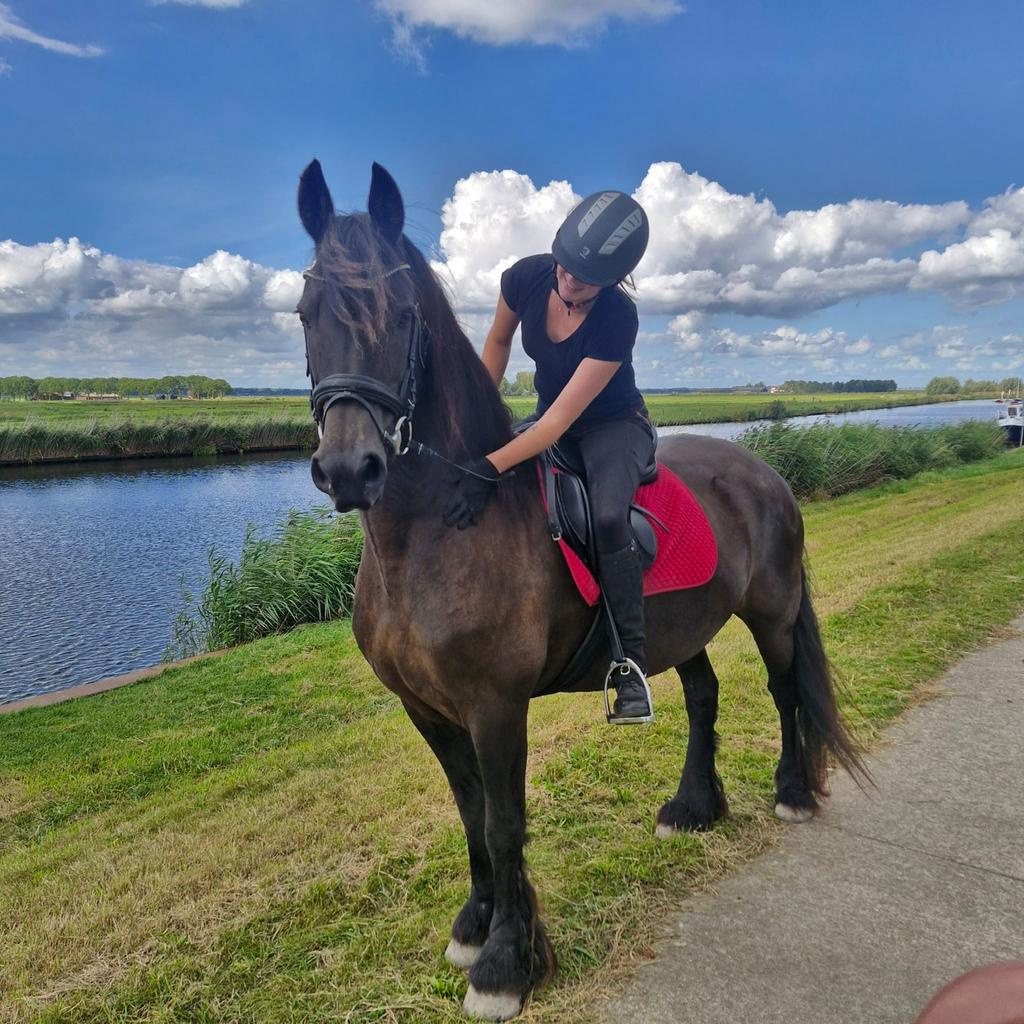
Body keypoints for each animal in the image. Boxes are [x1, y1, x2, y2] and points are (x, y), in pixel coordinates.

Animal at [296, 159, 865, 1021]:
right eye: (304, 313)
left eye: (402, 316)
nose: (349, 469)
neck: (437, 528)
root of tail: (762, 469)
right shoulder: (426, 707)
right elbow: (469, 812)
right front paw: (476, 925)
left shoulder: (494, 705)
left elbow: (504, 822)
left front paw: (505, 963)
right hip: (680, 629)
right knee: (702, 695)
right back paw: (692, 808)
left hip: (770, 612)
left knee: (784, 689)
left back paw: (792, 791)